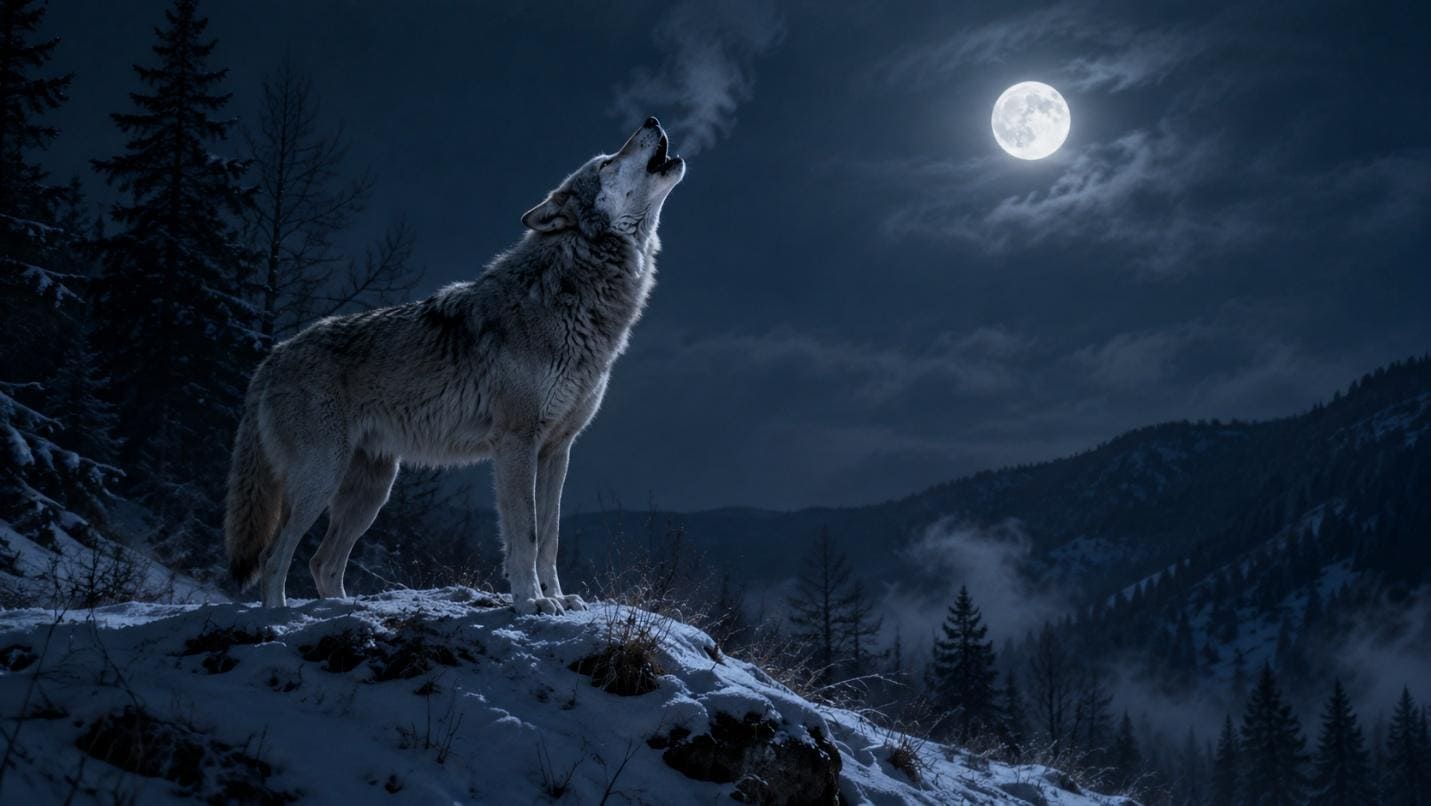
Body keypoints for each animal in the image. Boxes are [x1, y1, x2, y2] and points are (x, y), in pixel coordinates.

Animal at [223, 118, 684, 614]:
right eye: (606, 162)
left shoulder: (558, 449)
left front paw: (557, 596)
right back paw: (277, 615)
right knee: (274, 556)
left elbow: (551, 535)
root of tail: (271, 357)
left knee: (322, 563)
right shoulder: (517, 443)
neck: (574, 293)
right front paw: (531, 601)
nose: (652, 120)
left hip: (372, 490)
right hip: (321, 479)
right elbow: (526, 533)